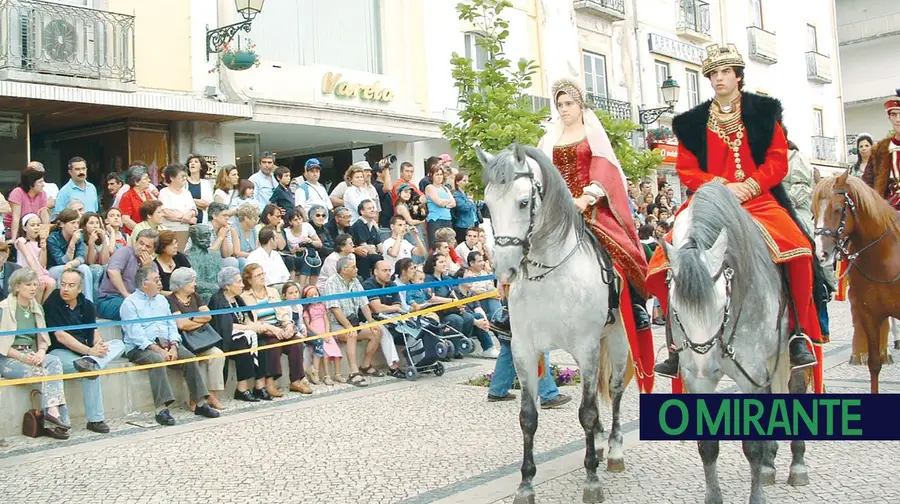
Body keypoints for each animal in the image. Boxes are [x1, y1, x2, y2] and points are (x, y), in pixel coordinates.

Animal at [478, 143, 632, 504]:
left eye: (523, 202)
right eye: (486, 206)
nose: (504, 270)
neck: (551, 274)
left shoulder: (587, 348)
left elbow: (587, 412)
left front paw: (592, 481)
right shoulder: (523, 349)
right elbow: (528, 417)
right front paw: (525, 484)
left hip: (616, 339)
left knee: (615, 389)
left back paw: (614, 450)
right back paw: (600, 445)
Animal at [656, 182, 812, 504]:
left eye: (721, 305)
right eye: (674, 309)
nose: (705, 365)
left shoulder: (749, 374)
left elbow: (751, 444)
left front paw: (757, 495)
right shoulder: (696, 380)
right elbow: (707, 445)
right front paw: (714, 497)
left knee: (795, 390)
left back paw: (797, 465)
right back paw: (769, 464)